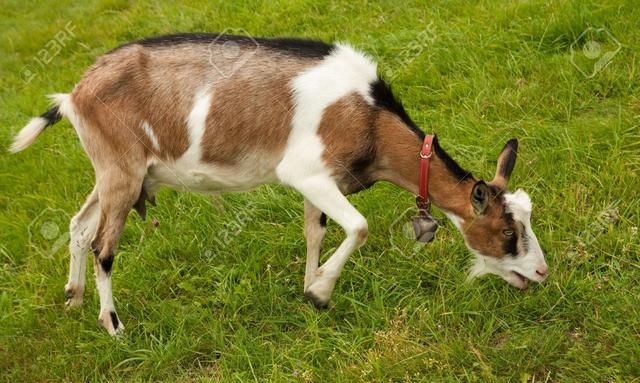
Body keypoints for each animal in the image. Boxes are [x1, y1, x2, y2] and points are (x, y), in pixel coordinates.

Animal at [10, 35, 548, 336]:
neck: (371, 118)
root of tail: (73, 94)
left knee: (79, 227)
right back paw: (113, 325)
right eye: (507, 231)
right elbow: (359, 227)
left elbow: (317, 231)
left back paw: (74, 298)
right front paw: (321, 292)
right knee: (103, 246)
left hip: (115, 172)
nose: (541, 273)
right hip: (121, 173)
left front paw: (311, 287)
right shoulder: (307, 171)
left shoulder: (320, 183)